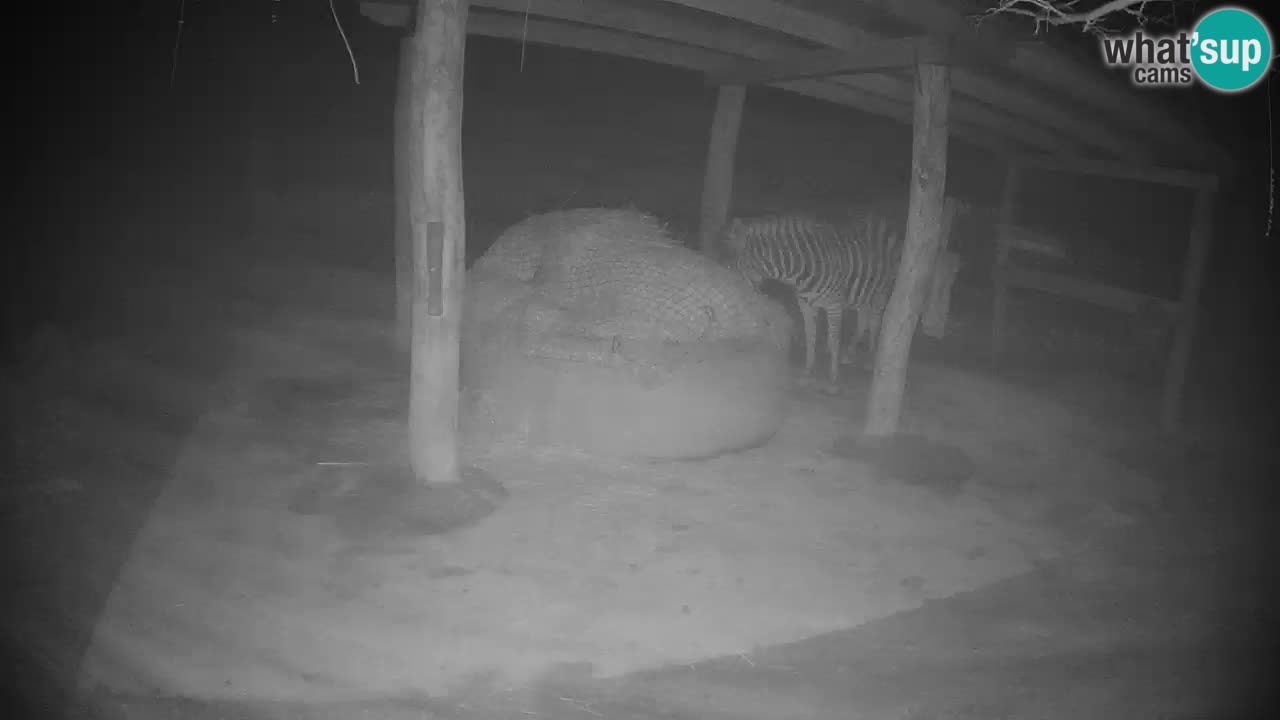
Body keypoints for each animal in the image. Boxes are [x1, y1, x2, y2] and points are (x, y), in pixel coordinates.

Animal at [719, 210, 902, 387]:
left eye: (729, 267)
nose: (729, 297)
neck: (799, 275)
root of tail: (880, 220)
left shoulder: (834, 306)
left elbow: (833, 340)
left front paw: (833, 380)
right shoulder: (806, 305)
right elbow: (810, 336)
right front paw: (808, 371)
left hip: (882, 293)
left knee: (876, 323)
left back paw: (870, 361)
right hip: (863, 295)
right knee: (864, 319)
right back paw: (849, 354)